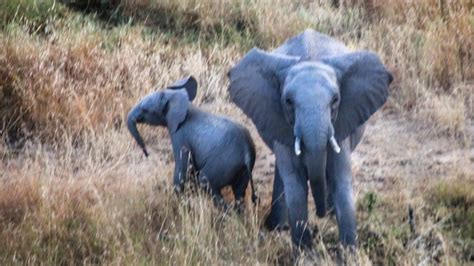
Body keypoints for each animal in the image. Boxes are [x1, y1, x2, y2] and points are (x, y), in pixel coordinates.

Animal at [128, 75, 258, 206]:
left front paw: (181, 201)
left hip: (224, 164)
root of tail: (246, 153)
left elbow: (183, 168)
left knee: (205, 181)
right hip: (242, 170)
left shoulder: (180, 136)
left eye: (145, 110)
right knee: (239, 193)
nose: (146, 153)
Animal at [227, 30, 392, 248]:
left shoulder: (341, 122)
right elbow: (296, 184)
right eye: (288, 102)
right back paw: (278, 227)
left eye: (335, 100)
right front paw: (305, 253)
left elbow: (340, 179)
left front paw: (348, 252)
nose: (319, 216)